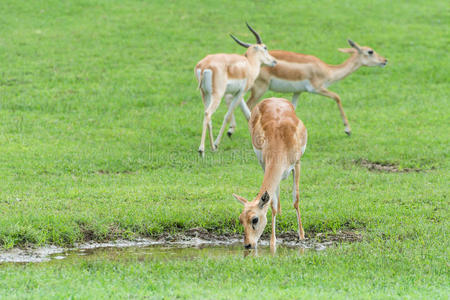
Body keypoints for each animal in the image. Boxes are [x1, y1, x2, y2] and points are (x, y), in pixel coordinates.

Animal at [194, 23, 276, 157]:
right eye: (265, 47)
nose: (274, 61)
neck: (249, 65)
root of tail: (205, 65)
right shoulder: (241, 92)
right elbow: (228, 116)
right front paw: (218, 142)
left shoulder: (236, 93)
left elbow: (249, 114)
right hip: (217, 95)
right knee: (208, 113)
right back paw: (202, 150)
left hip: (205, 94)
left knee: (207, 115)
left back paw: (212, 147)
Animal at [227, 39, 388, 135]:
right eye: (370, 51)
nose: (384, 60)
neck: (328, 70)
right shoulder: (316, 88)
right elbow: (337, 97)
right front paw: (347, 130)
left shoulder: (298, 91)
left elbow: (293, 108)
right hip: (259, 88)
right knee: (246, 104)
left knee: (231, 98)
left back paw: (231, 129)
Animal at [232, 98, 310, 251]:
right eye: (240, 219)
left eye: (254, 219)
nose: (248, 244)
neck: (281, 141)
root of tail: (274, 98)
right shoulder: (265, 164)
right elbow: (272, 204)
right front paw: (273, 242)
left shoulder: (297, 164)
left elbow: (296, 199)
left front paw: (302, 235)